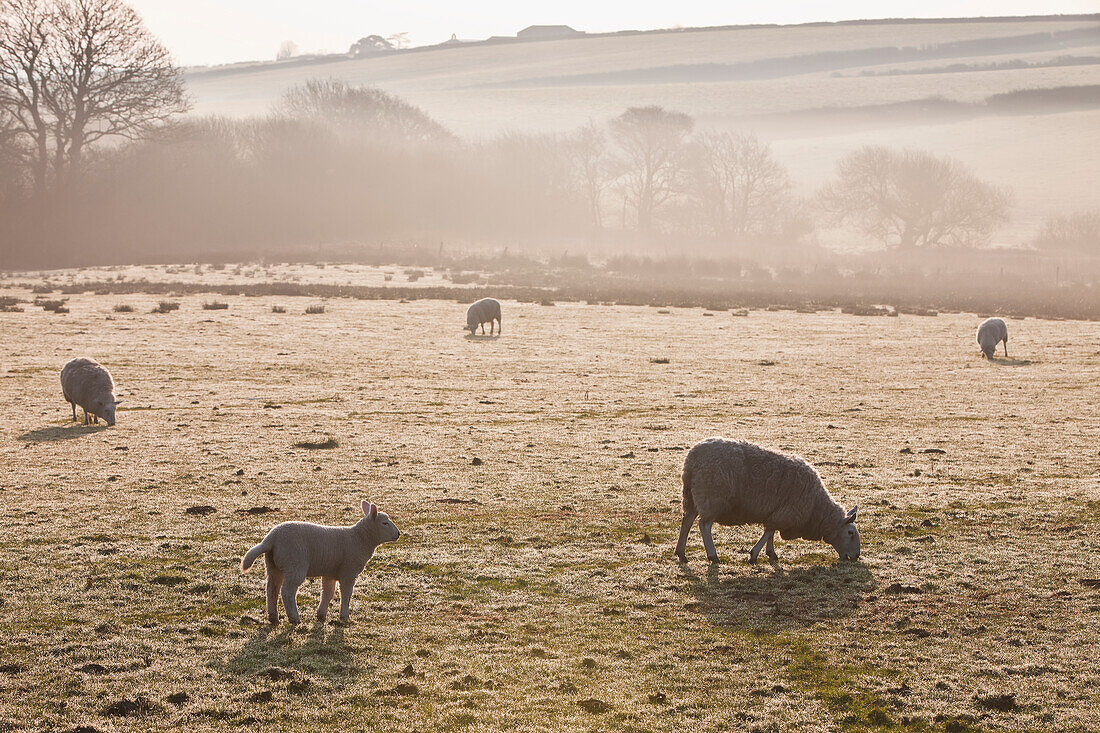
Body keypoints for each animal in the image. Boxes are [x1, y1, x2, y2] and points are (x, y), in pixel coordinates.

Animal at [238, 497, 402, 620]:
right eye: (385, 523)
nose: (398, 534)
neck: (360, 538)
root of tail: (271, 538)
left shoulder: (330, 572)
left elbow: (328, 593)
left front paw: (321, 615)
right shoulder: (349, 571)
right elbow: (346, 594)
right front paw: (344, 616)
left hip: (273, 565)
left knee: (272, 589)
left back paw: (273, 618)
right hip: (294, 564)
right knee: (287, 591)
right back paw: (294, 618)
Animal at [668, 435, 858, 561]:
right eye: (850, 533)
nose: (856, 556)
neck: (816, 508)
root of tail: (692, 458)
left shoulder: (777, 511)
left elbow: (770, 531)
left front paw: (770, 553)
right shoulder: (787, 512)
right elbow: (769, 531)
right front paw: (754, 555)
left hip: (692, 496)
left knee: (687, 520)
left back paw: (681, 553)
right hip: (712, 497)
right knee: (704, 525)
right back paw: (712, 555)